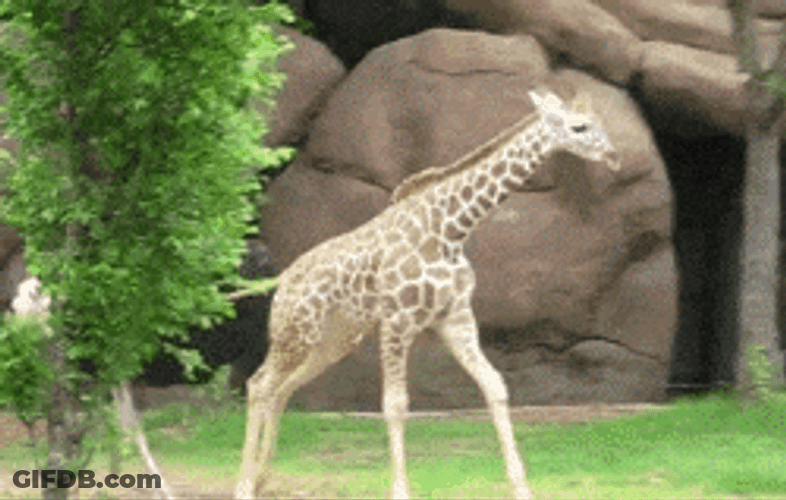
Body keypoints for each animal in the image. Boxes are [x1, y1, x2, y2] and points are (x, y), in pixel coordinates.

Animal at [236, 87, 621, 500]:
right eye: (579, 126)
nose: (614, 157)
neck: (451, 232)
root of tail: (283, 280)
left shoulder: (456, 317)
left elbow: (495, 386)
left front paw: (521, 487)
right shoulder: (397, 321)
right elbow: (395, 404)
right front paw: (400, 490)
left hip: (333, 340)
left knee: (281, 389)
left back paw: (262, 478)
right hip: (296, 331)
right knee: (259, 384)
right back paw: (244, 485)